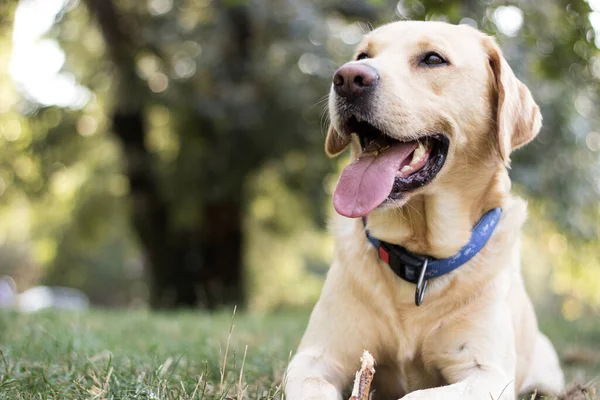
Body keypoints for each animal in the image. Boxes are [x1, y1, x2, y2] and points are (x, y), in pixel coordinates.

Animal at [284, 21, 564, 400]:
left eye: (433, 59)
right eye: (362, 56)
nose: (348, 78)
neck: (418, 257)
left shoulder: (487, 373)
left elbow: (416, 395)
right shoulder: (315, 357)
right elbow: (314, 384)